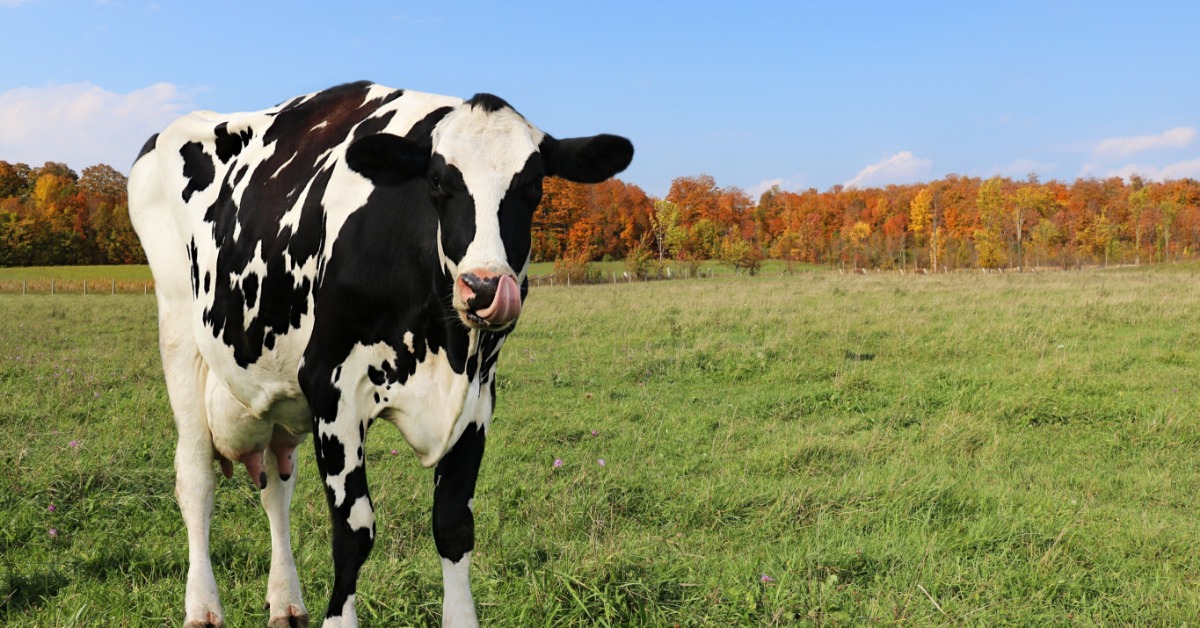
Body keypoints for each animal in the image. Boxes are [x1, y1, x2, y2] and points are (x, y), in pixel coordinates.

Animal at [127, 81, 633, 627]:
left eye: (534, 185)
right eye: (437, 182)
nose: (483, 287)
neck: (447, 348)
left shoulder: (478, 400)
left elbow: (453, 525)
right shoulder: (331, 387)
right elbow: (354, 531)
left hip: (275, 397)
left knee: (277, 489)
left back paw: (286, 600)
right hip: (180, 335)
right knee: (195, 480)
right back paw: (202, 607)